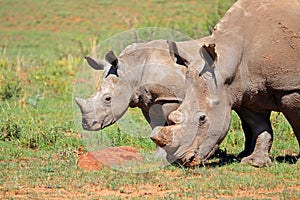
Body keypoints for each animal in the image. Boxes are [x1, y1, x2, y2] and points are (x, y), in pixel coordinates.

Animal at [151, 0, 300, 166]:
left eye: (202, 118)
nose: (183, 161)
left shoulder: (290, 88)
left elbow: (297, 125)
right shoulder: (246, 91)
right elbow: (259, 126)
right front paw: (254, 162)